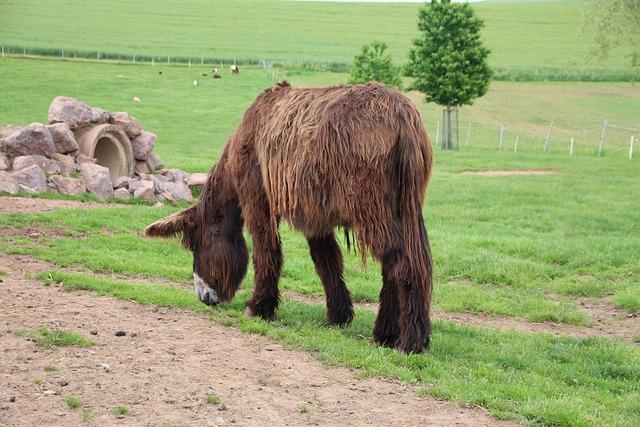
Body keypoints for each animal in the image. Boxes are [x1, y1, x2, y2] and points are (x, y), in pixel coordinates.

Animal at [146, 81, 436, 354]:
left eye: (194, 246)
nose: (202, 296)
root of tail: (402, 116)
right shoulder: (316, 217)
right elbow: (327, 261)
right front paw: (338, 316)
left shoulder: (257, 199)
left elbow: (266, 251)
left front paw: (259, 307)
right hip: (402, 206)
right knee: (398, 262)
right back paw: (385, 334)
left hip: (370, 207)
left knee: (403, 263)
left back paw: (410, 341)